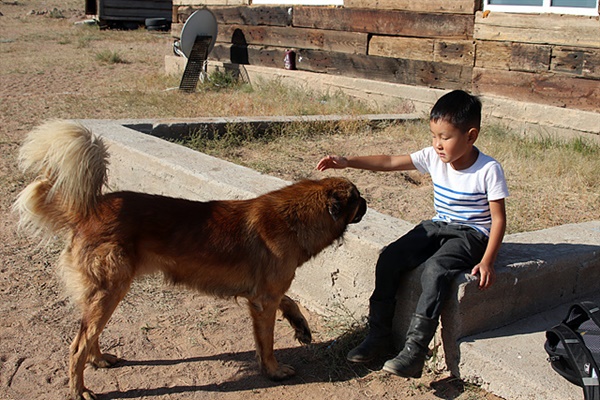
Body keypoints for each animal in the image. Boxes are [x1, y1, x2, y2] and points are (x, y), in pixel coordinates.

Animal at [14, 120, 368, 400]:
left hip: (108, 293)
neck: (294, 217)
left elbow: (290, 302)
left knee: (89, 336)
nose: (367, 201)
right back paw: (80, 390)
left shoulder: (263, 293)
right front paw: (274, 371)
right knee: (78, 345)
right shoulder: (264, 300)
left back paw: (99, 360)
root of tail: (91, 209)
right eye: (357, 197)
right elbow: (266, 342)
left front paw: (301, 328)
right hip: (111, 289)